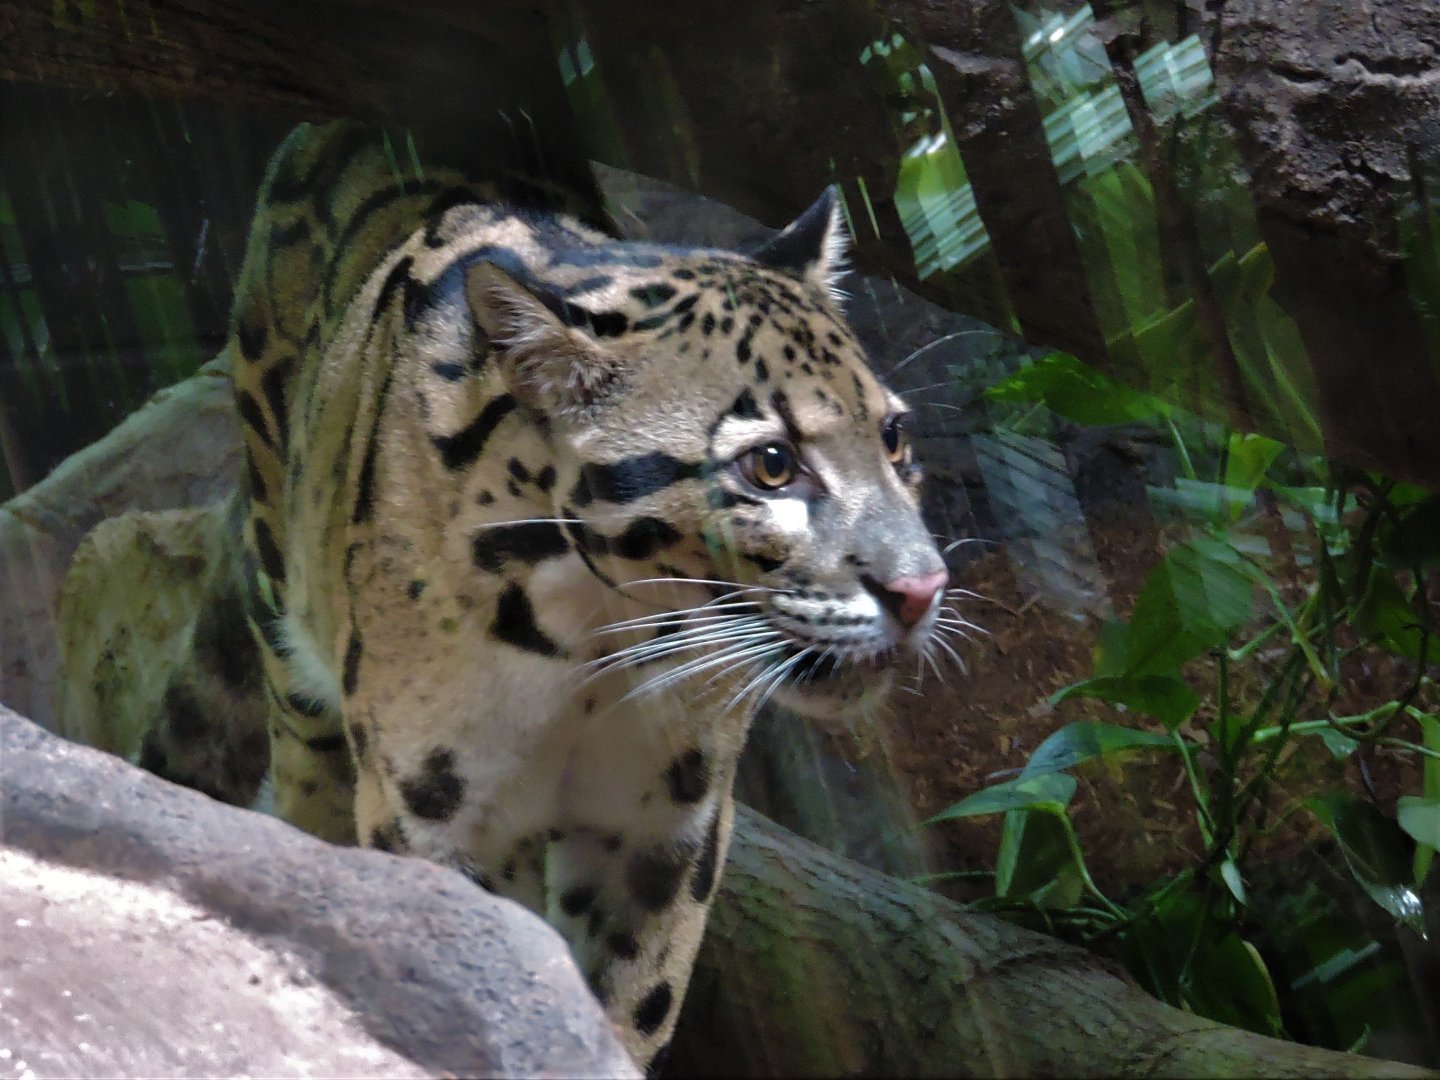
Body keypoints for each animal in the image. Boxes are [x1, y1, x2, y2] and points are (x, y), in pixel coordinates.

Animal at [137, 121, 954, 1068]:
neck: (594, 639)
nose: (921, 588)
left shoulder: (665, 827)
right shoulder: (434, 808)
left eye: (894, 438)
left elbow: (631, 1000)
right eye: (772, 465)